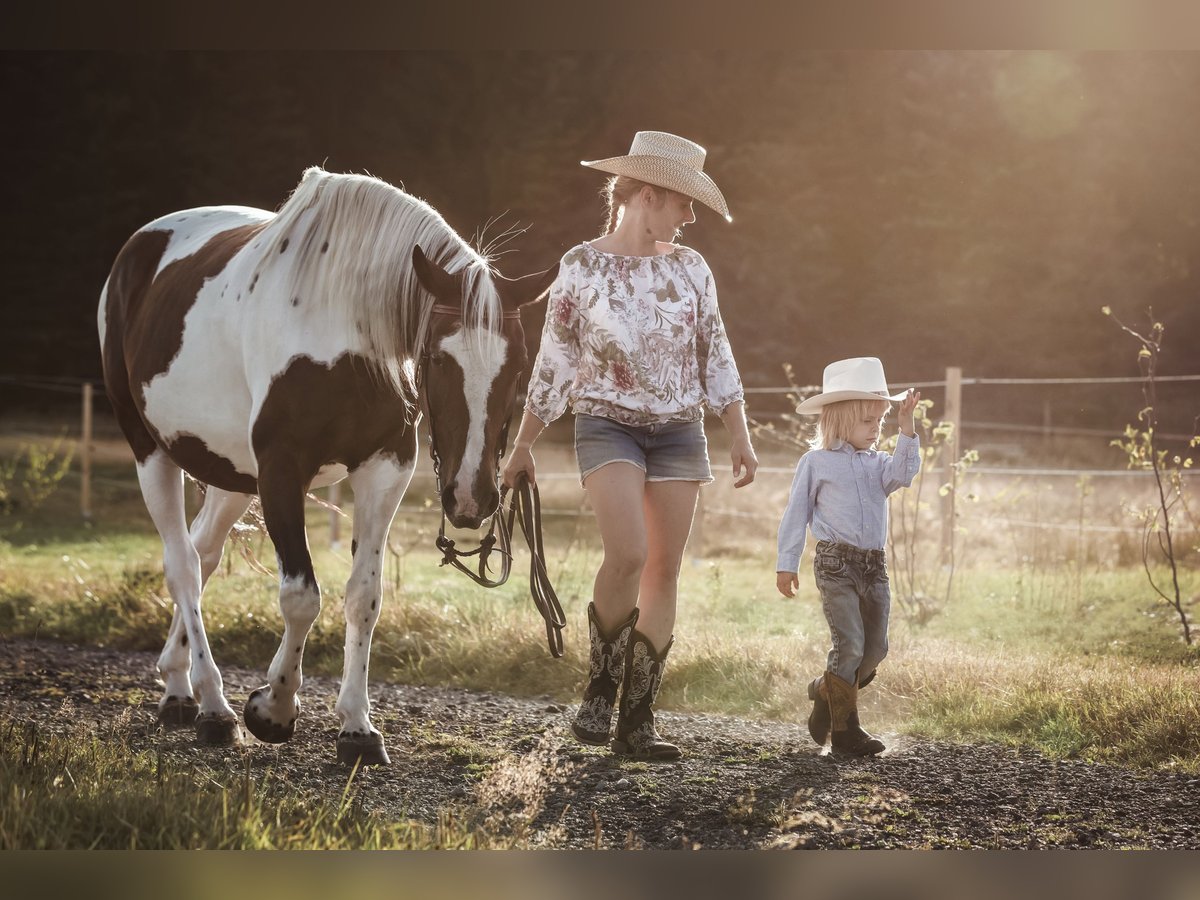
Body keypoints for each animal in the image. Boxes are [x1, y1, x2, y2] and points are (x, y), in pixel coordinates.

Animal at [97, 165, 556, 763]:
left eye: (520, 365)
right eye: (437, 359)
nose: (470, 498)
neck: (345, 329)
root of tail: (139, 247)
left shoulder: (385, 471)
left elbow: (363, 598)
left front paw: (357, 727)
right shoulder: (281, 472)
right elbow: (300, 597)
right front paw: (272, 709)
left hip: (231, 476)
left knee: (203, 554)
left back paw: (179, 686)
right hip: (151, 452)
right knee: (183, 566)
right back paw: (214, 707)